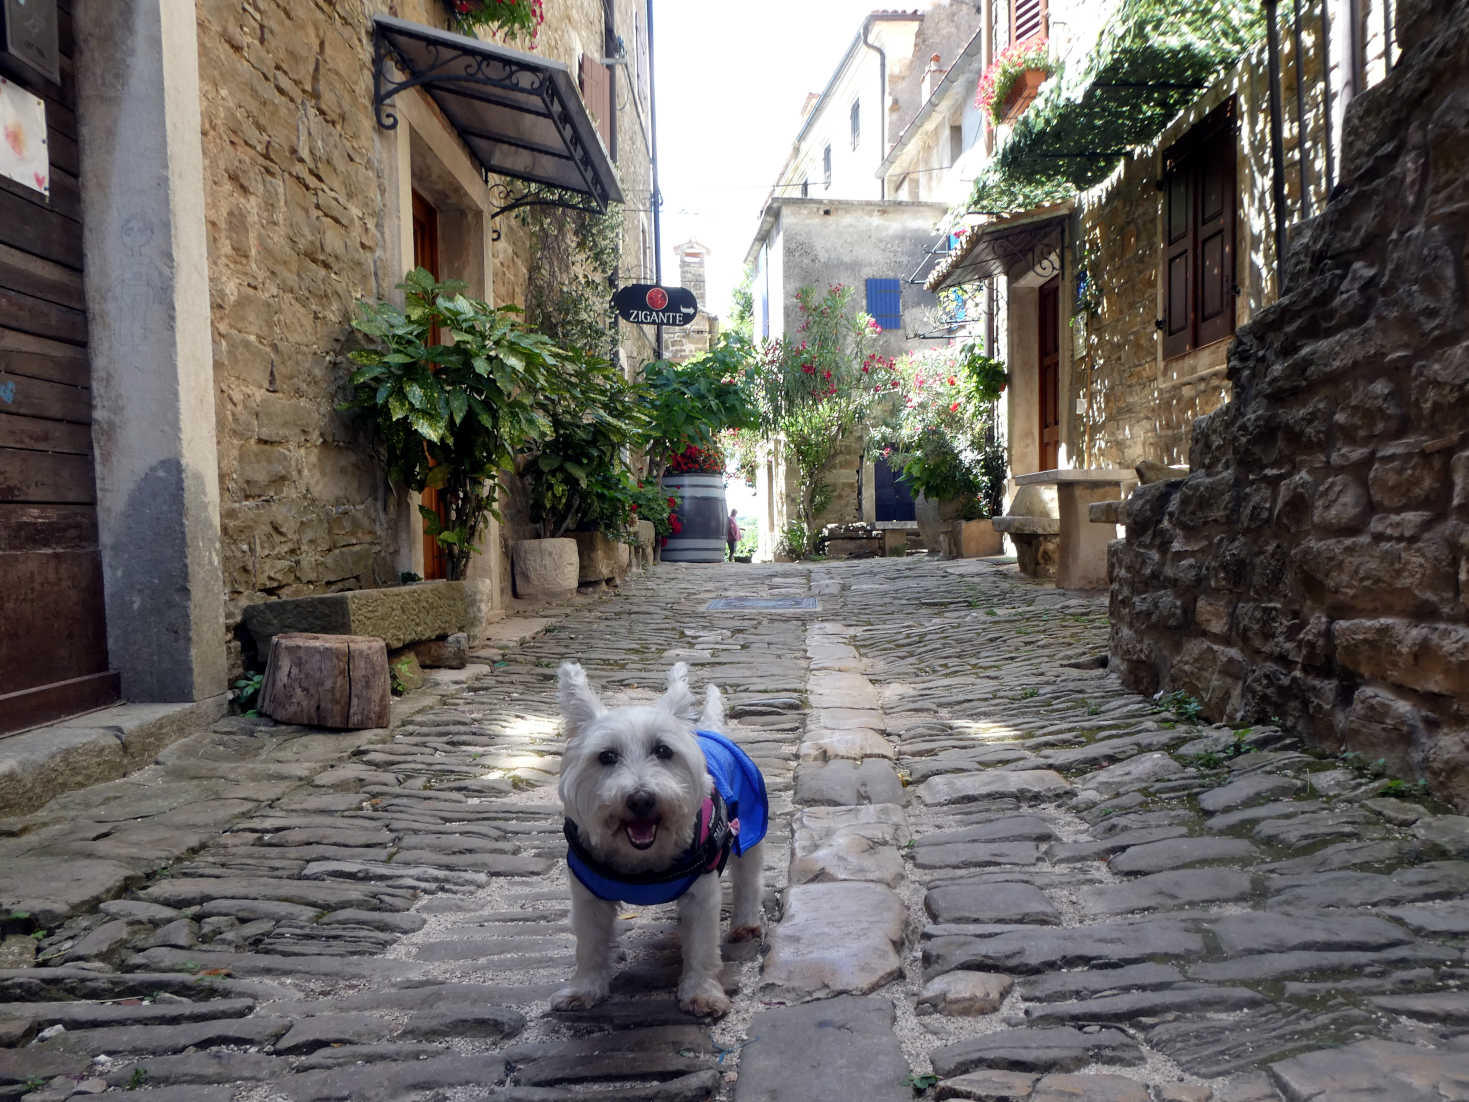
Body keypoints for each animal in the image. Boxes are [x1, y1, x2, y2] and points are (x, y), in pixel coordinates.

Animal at [552, 661, 769, 1022]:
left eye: (663, 750)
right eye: (606, 756)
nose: (641, 799)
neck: (643, 862)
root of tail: (709, 731)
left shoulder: (702, 894)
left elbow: (701, 948)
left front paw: (702, 994)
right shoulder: (588, 896)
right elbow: (590, 945)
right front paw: (583, 990)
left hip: (749, 831)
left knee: (748, 881)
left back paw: (746, 923)